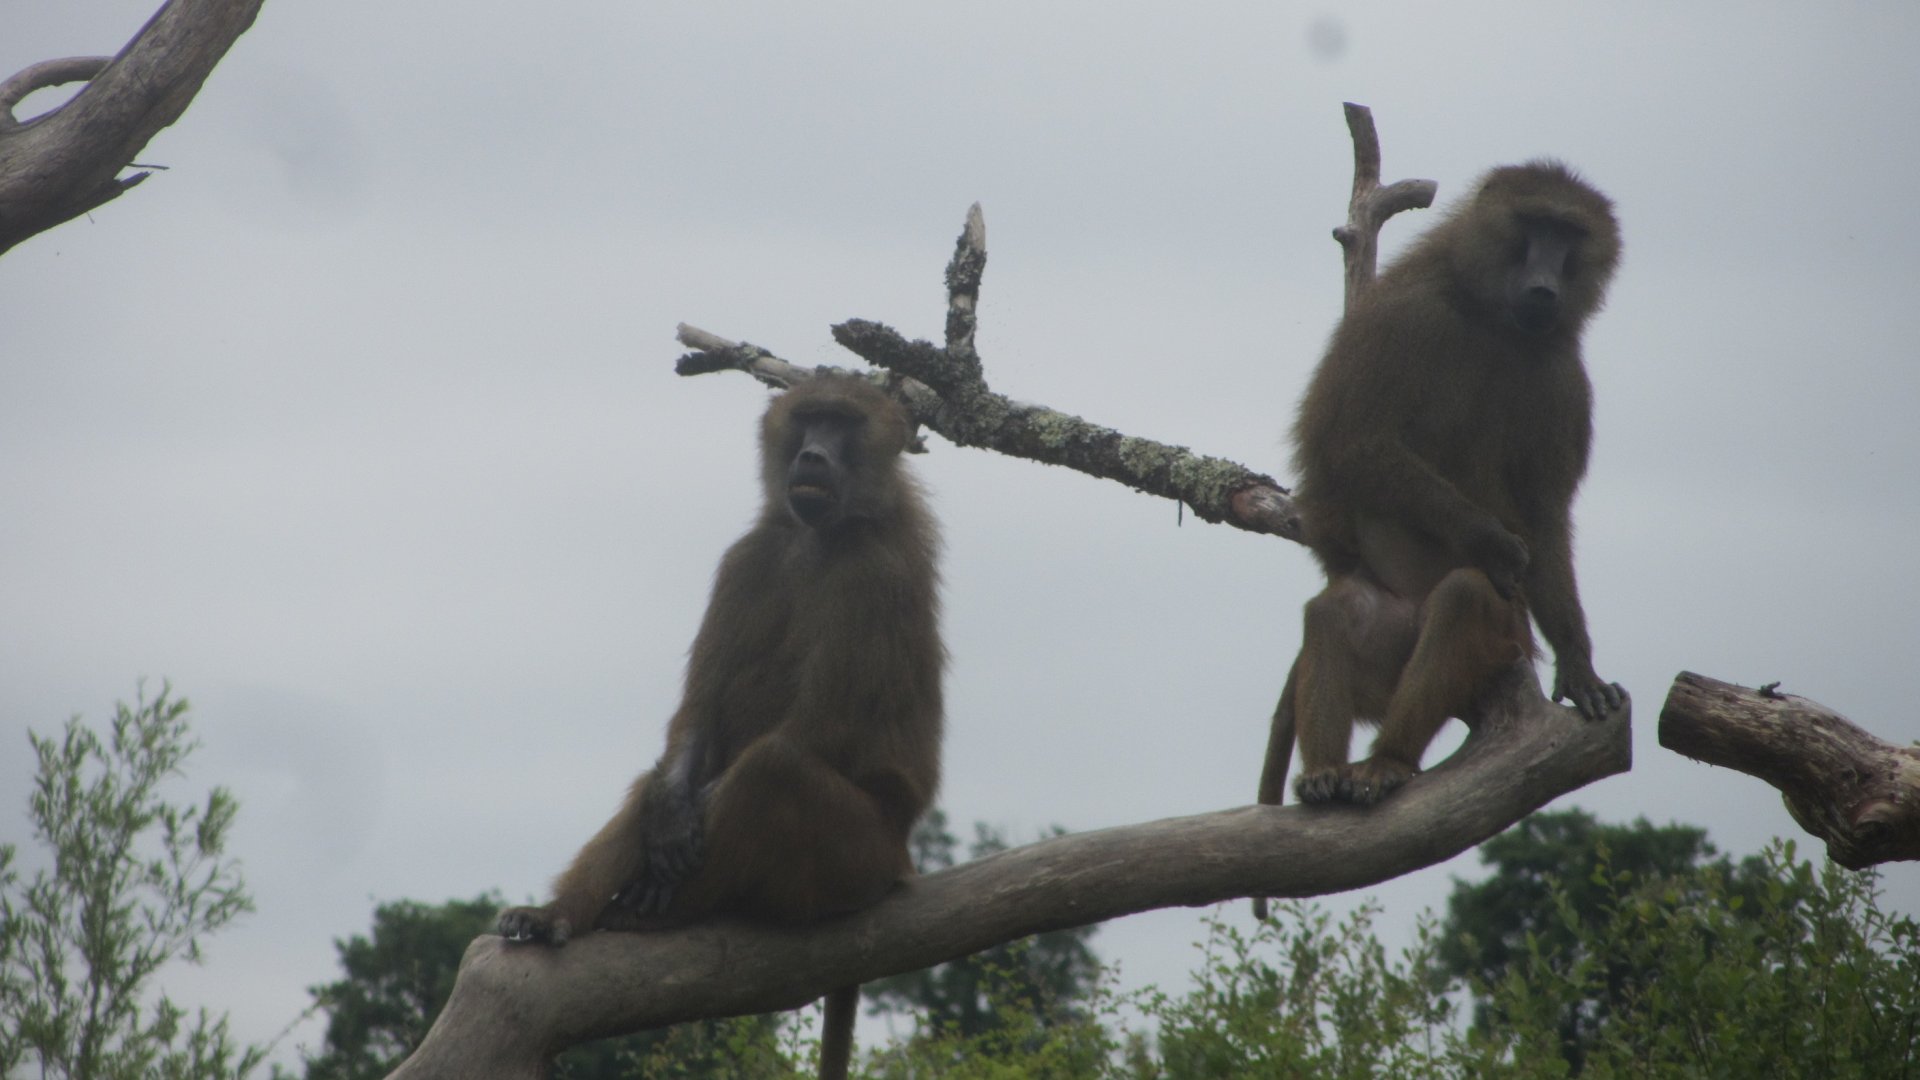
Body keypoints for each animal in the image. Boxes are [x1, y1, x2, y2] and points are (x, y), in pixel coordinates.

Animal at [497, 373, 944, 1080]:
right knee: (657, 783)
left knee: (771, 770)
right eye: (809, 418)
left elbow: (822, 724)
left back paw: (660, 911)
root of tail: (901, 862)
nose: (812, 456)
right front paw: (669, 819)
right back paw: (557, 917)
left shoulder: (877, 577)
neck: (821, 535)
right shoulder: (746, 558)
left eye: (843, 423)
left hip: (857, 860)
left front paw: (683, 838)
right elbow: (696, 720)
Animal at [1257, 160, 1624, 814]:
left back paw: (1388, 762)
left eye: (1569, 235)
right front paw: (1496, 542)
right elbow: (1359, 442)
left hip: (1502, 638)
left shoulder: (1566, 380)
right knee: (1336, 610)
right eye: (1533, 225)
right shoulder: (1406, 318)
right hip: (1386, 642)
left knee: (1463, 599)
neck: (1492, 319)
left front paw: (1579, 666)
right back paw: (1327, 773)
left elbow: (1546, 514)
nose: (1543, 287)